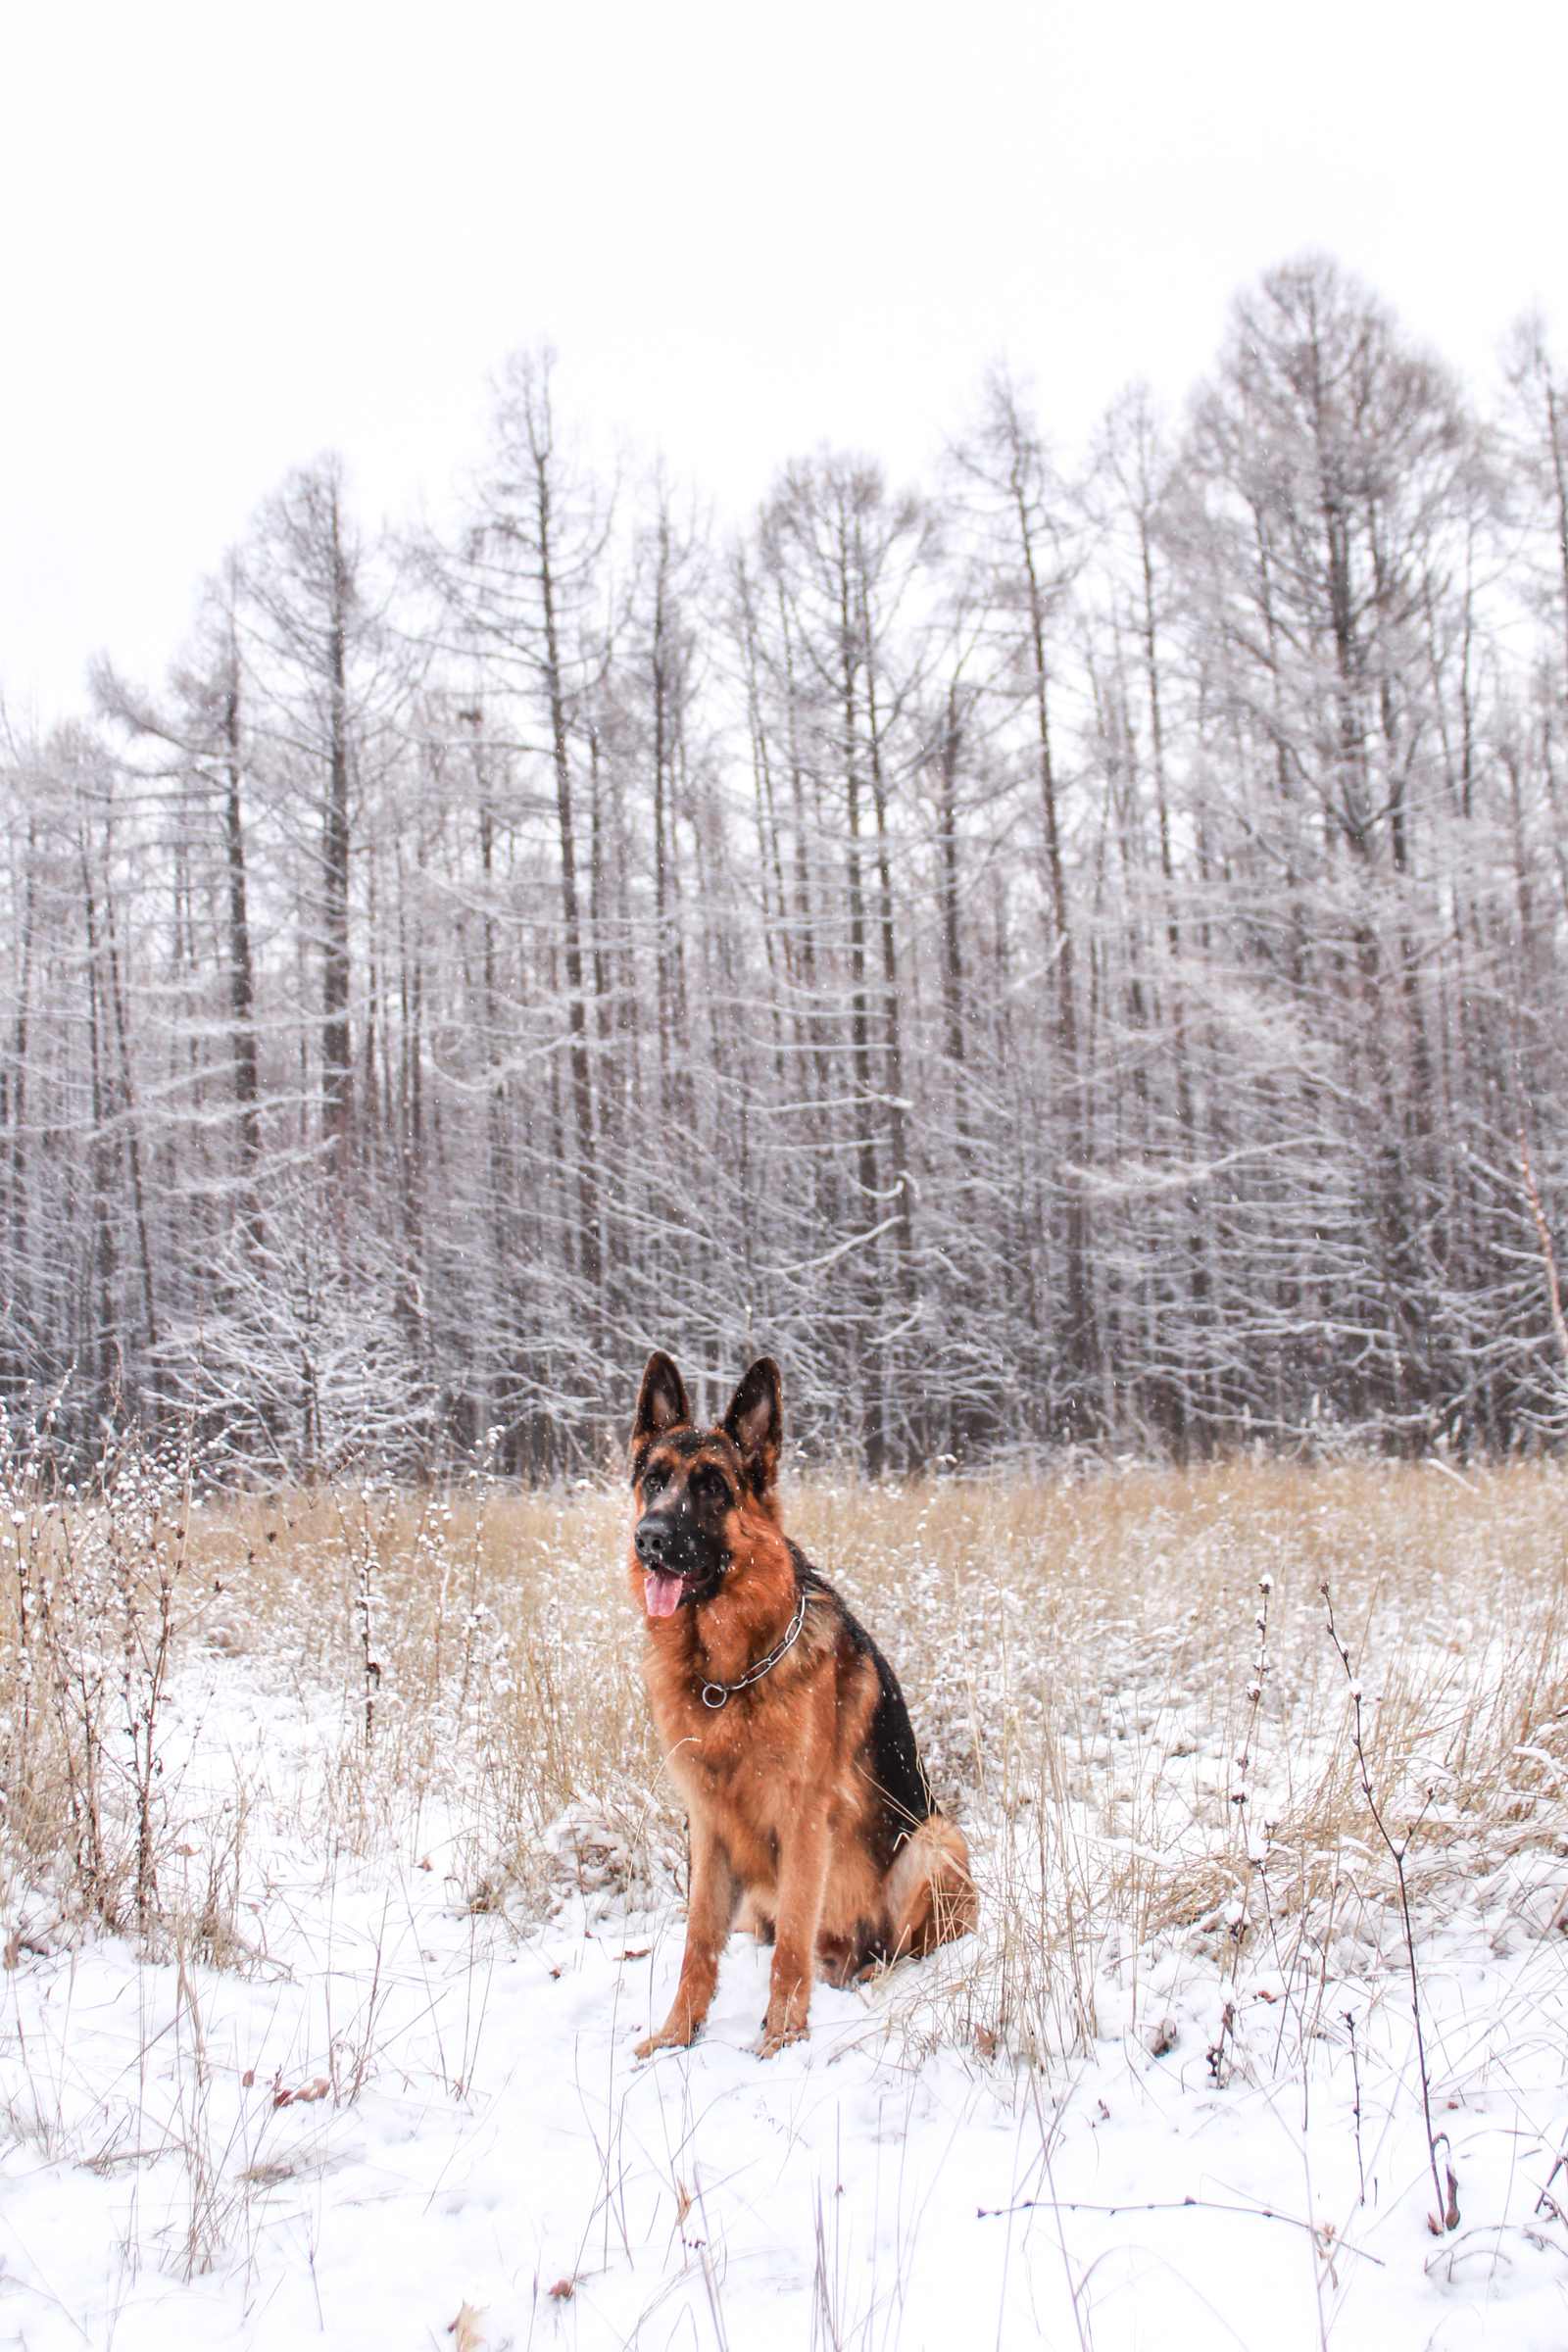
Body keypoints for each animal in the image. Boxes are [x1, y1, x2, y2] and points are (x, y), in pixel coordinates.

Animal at [629, 1354, 973, 2050]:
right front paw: (676, 2037)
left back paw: (871, 1978)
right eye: (655, 1481)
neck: (727, 1678)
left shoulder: (804, 1821)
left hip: (935, 1840)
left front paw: (781, 2041)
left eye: (713, 1488)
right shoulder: (709, 1827)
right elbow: (698, 1945)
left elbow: (791, 1945)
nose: (648, 1540)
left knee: (899, 1948)